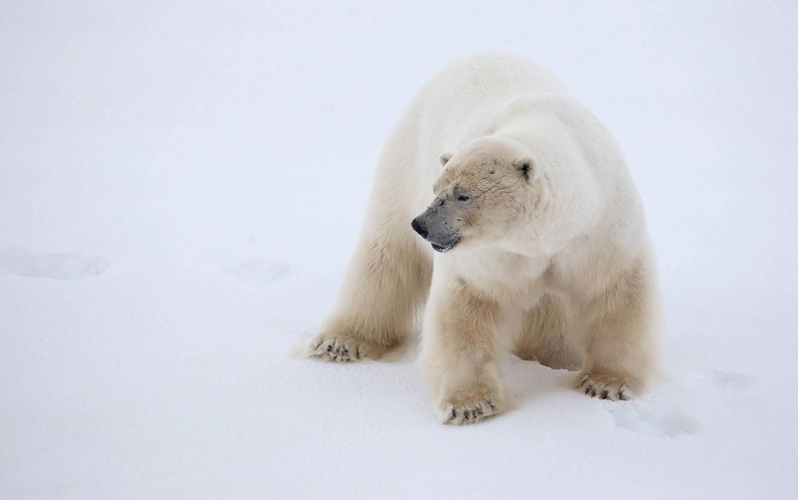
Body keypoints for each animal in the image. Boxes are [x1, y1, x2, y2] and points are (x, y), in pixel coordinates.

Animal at [310, 53, 660, 422]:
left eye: (463, 195)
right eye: (437, 188)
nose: (422, 224)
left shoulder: (600, 229)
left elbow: (615, 292)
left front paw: (607, 383)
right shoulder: (494, 252)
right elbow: (470, 300)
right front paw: (471, 404)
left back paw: (554, 354)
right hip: (405, 158)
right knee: (386, 254)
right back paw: (341, 341)